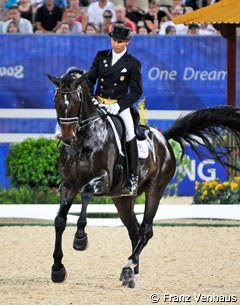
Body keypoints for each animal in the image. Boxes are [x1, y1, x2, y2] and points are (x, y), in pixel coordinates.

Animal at [46, 69, 240, 288]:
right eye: (56, 101)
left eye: (75, 101)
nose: (67, 138)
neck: (84, 139)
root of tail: (163, 139)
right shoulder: (68, 185)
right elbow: (59, 220)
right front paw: (57, 269)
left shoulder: (104, 179)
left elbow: (86, 193)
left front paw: (80, 238)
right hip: (122, 199)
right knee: (135, 230)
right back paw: (132, 270)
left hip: (155, 189)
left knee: (146, 230)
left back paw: (128, 269)